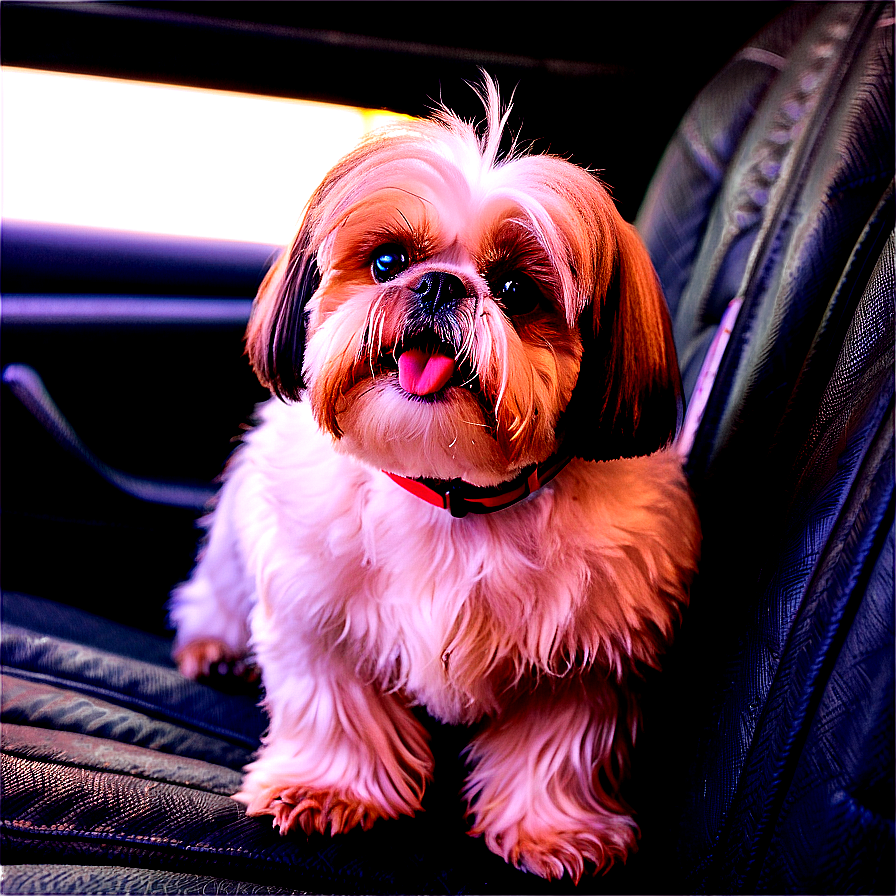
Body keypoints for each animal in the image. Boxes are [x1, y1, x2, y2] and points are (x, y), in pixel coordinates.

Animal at [168, 79, 700, 880]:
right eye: (388, 261)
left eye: (516, 289)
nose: (442, 284)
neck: (454, 495)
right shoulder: (314, 611)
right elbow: (334, 705)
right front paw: (328, 787)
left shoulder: (590, 655)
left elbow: (557, 748)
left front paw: (553, 831)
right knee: (215, 596)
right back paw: (213, 648)